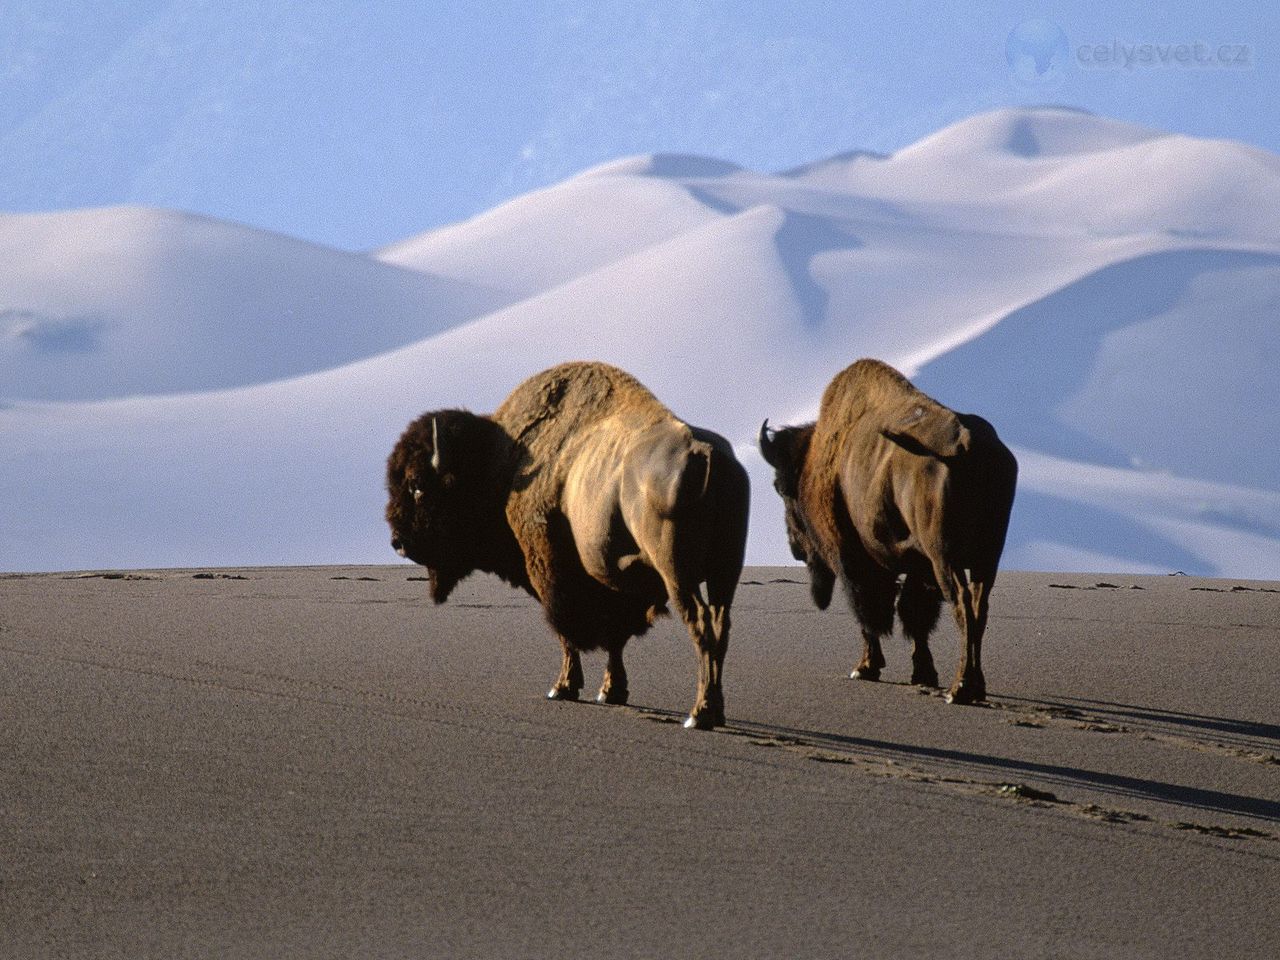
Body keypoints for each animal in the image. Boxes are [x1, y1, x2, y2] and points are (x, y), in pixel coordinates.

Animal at [384, 360, 752, 727]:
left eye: (417, 486)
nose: (398, 542)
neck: (505, 460)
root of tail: (707, 455)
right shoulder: (612, 582)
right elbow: (614, 638)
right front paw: (610, 691)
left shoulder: (550, 573)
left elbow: (567, 632)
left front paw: (562, 688)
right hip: (725, 572)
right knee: (721, 624)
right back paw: (715, 709)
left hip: (677, 573)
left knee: (700, 622)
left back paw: (699, 714)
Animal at [757, 360, 1018, 706]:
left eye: (782, 489)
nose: (795, 549)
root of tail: (965, 445)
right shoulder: (919, 567)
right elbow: (913, 614)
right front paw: (923, 672)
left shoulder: (854, 559)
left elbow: (870, 611)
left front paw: (865, 668)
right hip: (986, 559)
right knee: (978, 607)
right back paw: (975, 685)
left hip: (945, 558)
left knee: (962, 605)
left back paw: (959, 689)